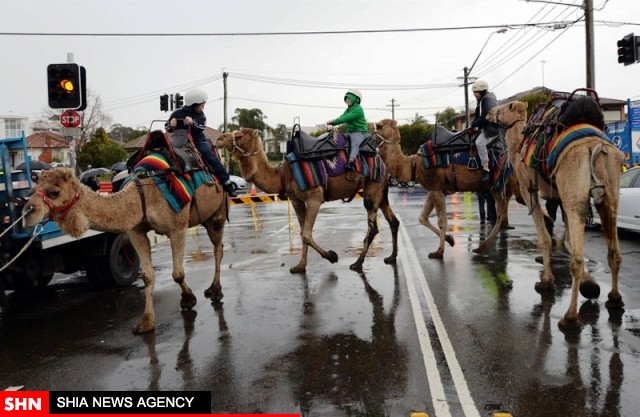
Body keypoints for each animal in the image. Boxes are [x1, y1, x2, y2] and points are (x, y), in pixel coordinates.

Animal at [25, 167, 230, 334]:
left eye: (55, 192)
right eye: (32, 191)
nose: (28, 211)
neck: (141, 197)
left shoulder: (177, 226)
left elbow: (177, 274)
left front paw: (188, 300)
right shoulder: (136, 231)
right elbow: (147, 275)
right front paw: (146, 323)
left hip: (217, 212)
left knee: (218, 248)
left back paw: (216, 291)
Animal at [220, 127, 400, 272]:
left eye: (240, 135)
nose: (220, 138)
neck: (283, 175)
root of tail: (382, 161)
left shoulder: (315, 198)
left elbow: (306, 234)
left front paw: (332, 256)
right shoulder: (296, 200)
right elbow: (301, 233)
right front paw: (300, 266)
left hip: (372, 189)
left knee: (373, 227)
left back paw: (357, 263)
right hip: (381, 192)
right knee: (394, 221)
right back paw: (391, 257)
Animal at [372, 117, 524, 258]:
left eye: (379, 126)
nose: (370, 138)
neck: (412, 165)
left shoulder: (436, 189)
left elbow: (442, 221)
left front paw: (439, 252)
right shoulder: (435, 189)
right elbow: (422, 218)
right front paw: (450, 240)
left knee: (505, 214)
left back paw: (481, 247)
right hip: (502, 187)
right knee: (503, 217)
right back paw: (480, 248)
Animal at [488, 100, 624, 328]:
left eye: (505, 107)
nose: (490, 113)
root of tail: (595, 147)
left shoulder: (529, 190)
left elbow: (544, 237)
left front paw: (546, 281)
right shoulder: (558, 196)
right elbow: (567, 238)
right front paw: (590, 285)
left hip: (575, 190)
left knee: (577, 258)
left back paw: (570, 317)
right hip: (610, 190)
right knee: (613, 250)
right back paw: (614, 299)